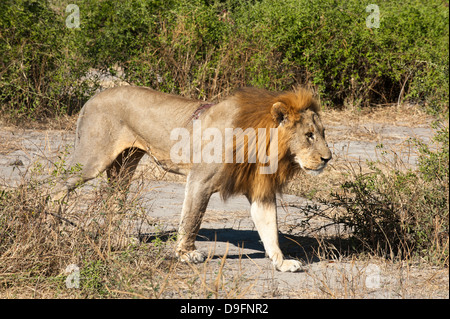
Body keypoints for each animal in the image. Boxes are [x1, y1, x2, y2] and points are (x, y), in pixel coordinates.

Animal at [52, 86, 332, 274]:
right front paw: (187, 255)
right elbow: (192, 219)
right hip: (91, 160)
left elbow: (270, 228)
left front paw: (281, 263)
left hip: (125, 164)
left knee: (114, 200)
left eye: (322, 133)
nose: (328, 158)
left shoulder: (259, 190)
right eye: (309, 135)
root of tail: (92, 97)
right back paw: (53, 225)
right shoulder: (200, 180)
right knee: (54, 187)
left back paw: (119, 239)